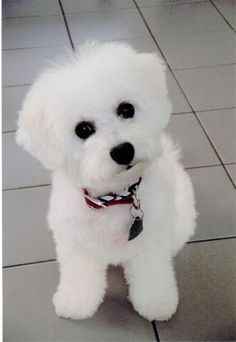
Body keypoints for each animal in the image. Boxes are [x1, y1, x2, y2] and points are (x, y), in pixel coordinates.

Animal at [16, 42, 196, 320]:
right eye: (82, 129)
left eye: (126, 109)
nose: (123, 151)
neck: (115, 197)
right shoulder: (75, 241)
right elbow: (79, 273)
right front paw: (76, 301)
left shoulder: (151, 241)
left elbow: (153, 273)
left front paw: (156, 302)